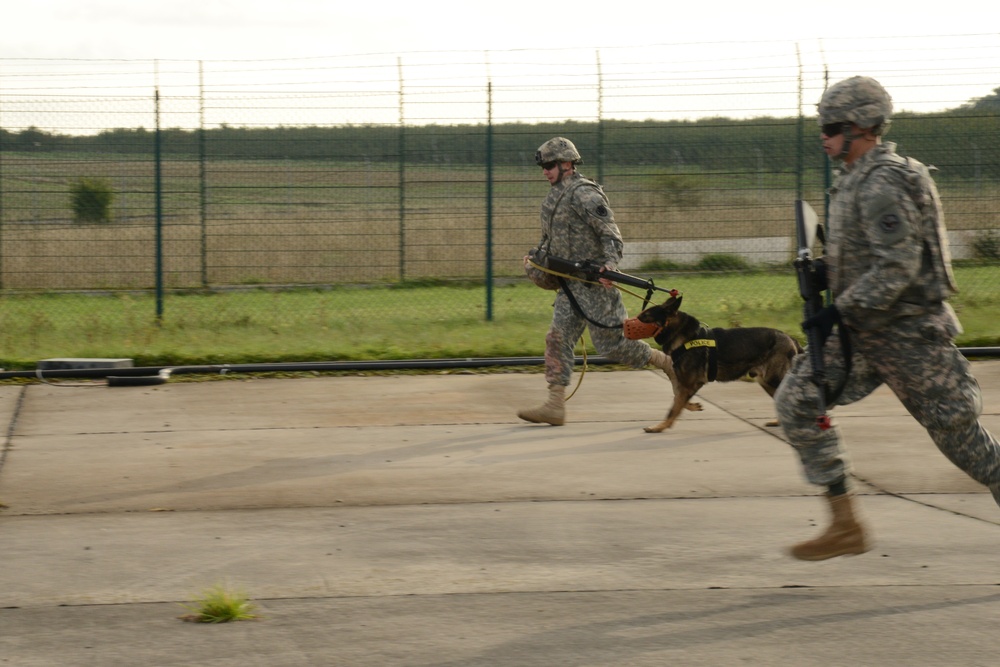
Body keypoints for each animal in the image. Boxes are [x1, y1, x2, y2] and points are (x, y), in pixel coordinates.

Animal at [640, 296, 804, 434]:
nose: (631, 320)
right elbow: (678, 400)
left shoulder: (689, 384)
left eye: (645, 316)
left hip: (773, 379)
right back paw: (779, 421)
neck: (684, 337)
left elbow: (673, 408)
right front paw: (693, 406)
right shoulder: (687, 385)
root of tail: (791, 338)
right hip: (765, 381)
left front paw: (659, 427)